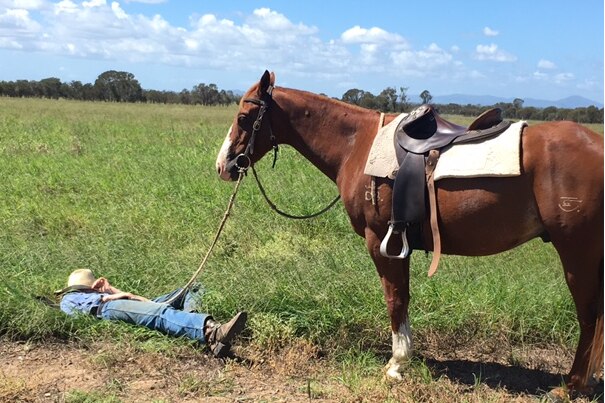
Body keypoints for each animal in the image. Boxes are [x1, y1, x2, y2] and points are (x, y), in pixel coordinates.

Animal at [215, 71, 600, 392]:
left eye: (244, 118)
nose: (223, 165)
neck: (357, 144)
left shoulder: (381, 241)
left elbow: (395, 299)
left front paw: (397, 364)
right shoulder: (399, 244)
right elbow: (403, 297)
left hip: (577, 251)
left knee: (589, 314)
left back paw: (572, 385)